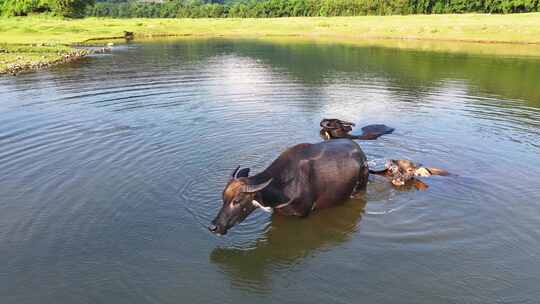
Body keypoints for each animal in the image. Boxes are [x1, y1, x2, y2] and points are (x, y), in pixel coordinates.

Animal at [209, 139, 370, 236]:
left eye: (237, 200)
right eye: (223, 198)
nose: (213, 227)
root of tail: (361, 153)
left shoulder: (302, 215)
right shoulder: (278, 213)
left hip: (360, 188)